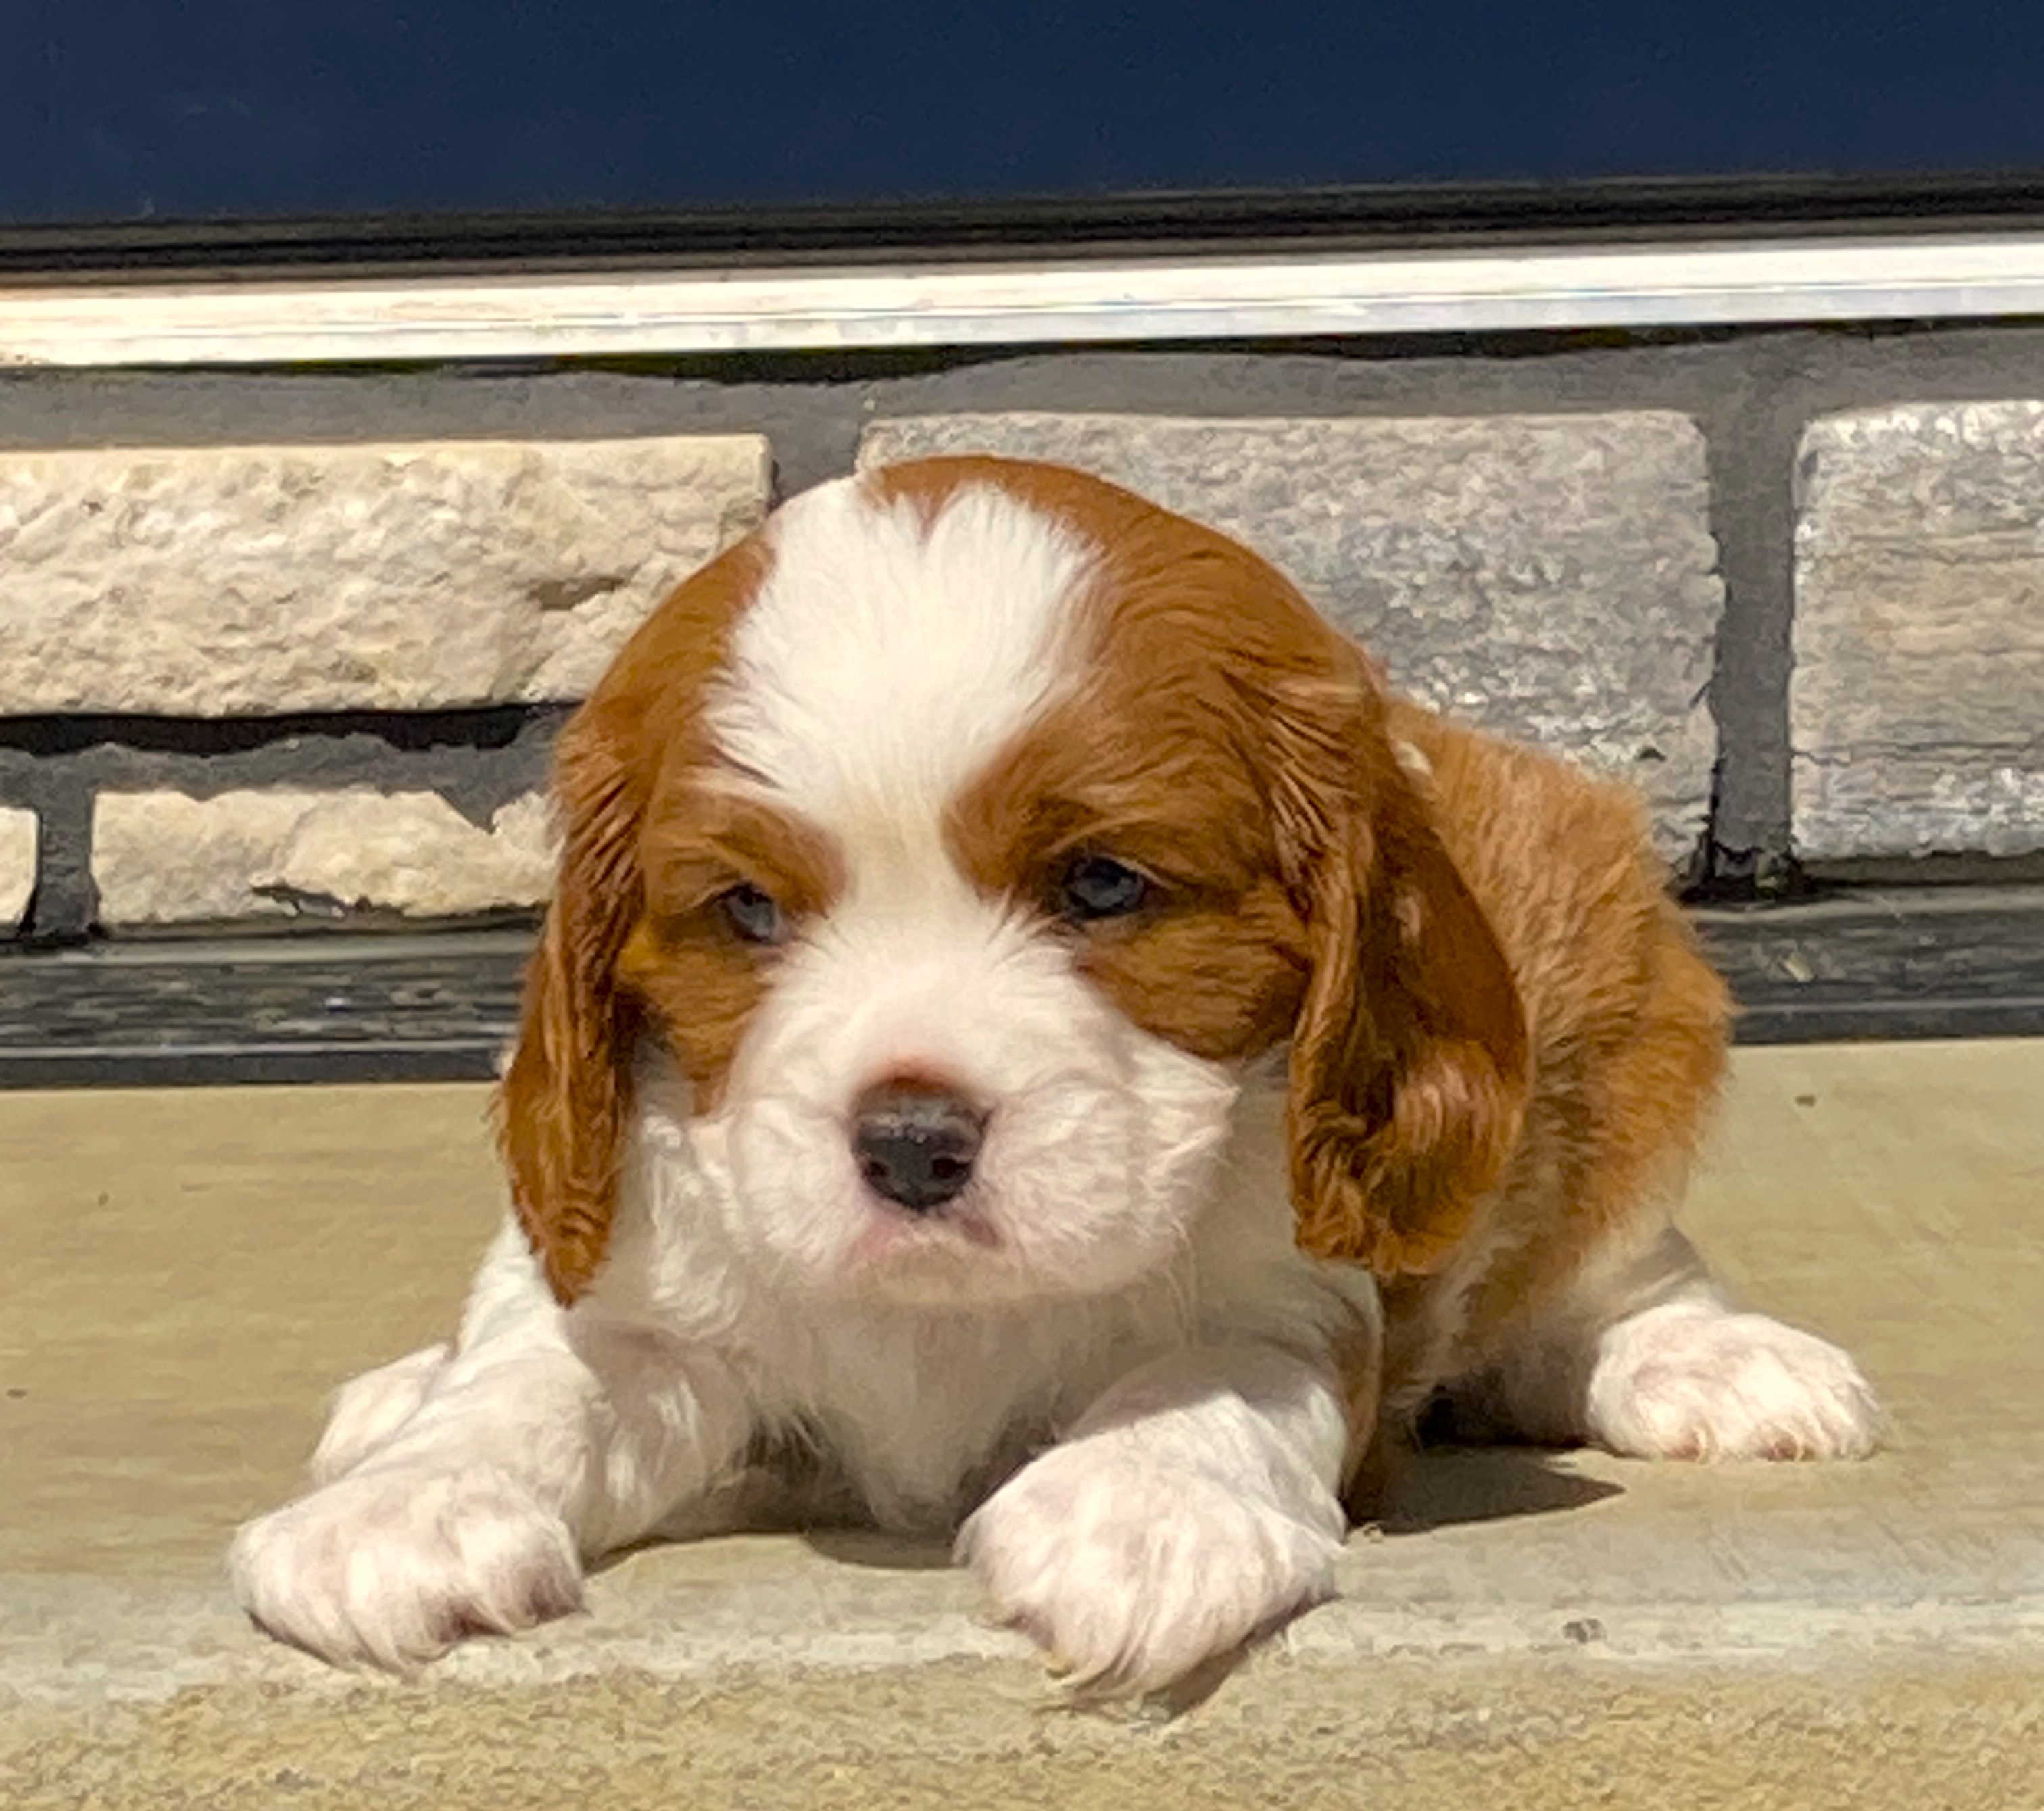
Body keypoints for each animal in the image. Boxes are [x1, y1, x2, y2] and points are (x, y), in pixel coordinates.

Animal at [232, 458, 1872, 1700]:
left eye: (1099, 884)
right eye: (747, 910)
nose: (908, 1143)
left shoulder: (1305, 1286)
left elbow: (1211, 1371)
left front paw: (1133, 1508)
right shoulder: (636, 1255)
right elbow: (537, 1378)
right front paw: (402, 1505)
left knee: (1603, 1264)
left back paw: (1709, 1359)